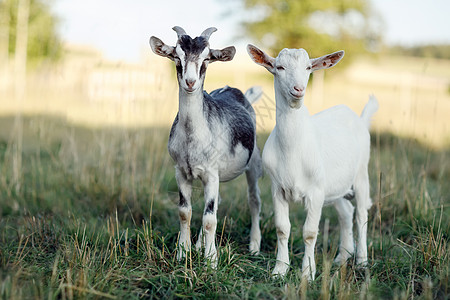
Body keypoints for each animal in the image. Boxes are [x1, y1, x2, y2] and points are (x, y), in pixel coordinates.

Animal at [150, 27, 264, 266]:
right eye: (177, 57)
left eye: (207, 59)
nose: (190, 82)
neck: (192, 138)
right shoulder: (181, 172)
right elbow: (185, 212)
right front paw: (183, 253)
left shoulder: (211, 173)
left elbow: (210, 218)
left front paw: (211, 261)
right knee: (215, 203)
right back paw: (198, 245)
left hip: (253, 165)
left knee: (254, 200)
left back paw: (254, 246)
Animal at [248, 45, 378, 282]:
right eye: (279, 67)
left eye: (308, 68)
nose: (298, 89)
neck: (292, 150)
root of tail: (358, 118)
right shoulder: (277, 188)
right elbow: (282, 228)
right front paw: (280, 270)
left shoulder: (316, 192)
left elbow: (309, 232)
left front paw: (308, 273)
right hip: (336, 186)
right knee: (346, 212)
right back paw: (342, 257)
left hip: (361, 174)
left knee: (362, 215)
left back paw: (362, 261)